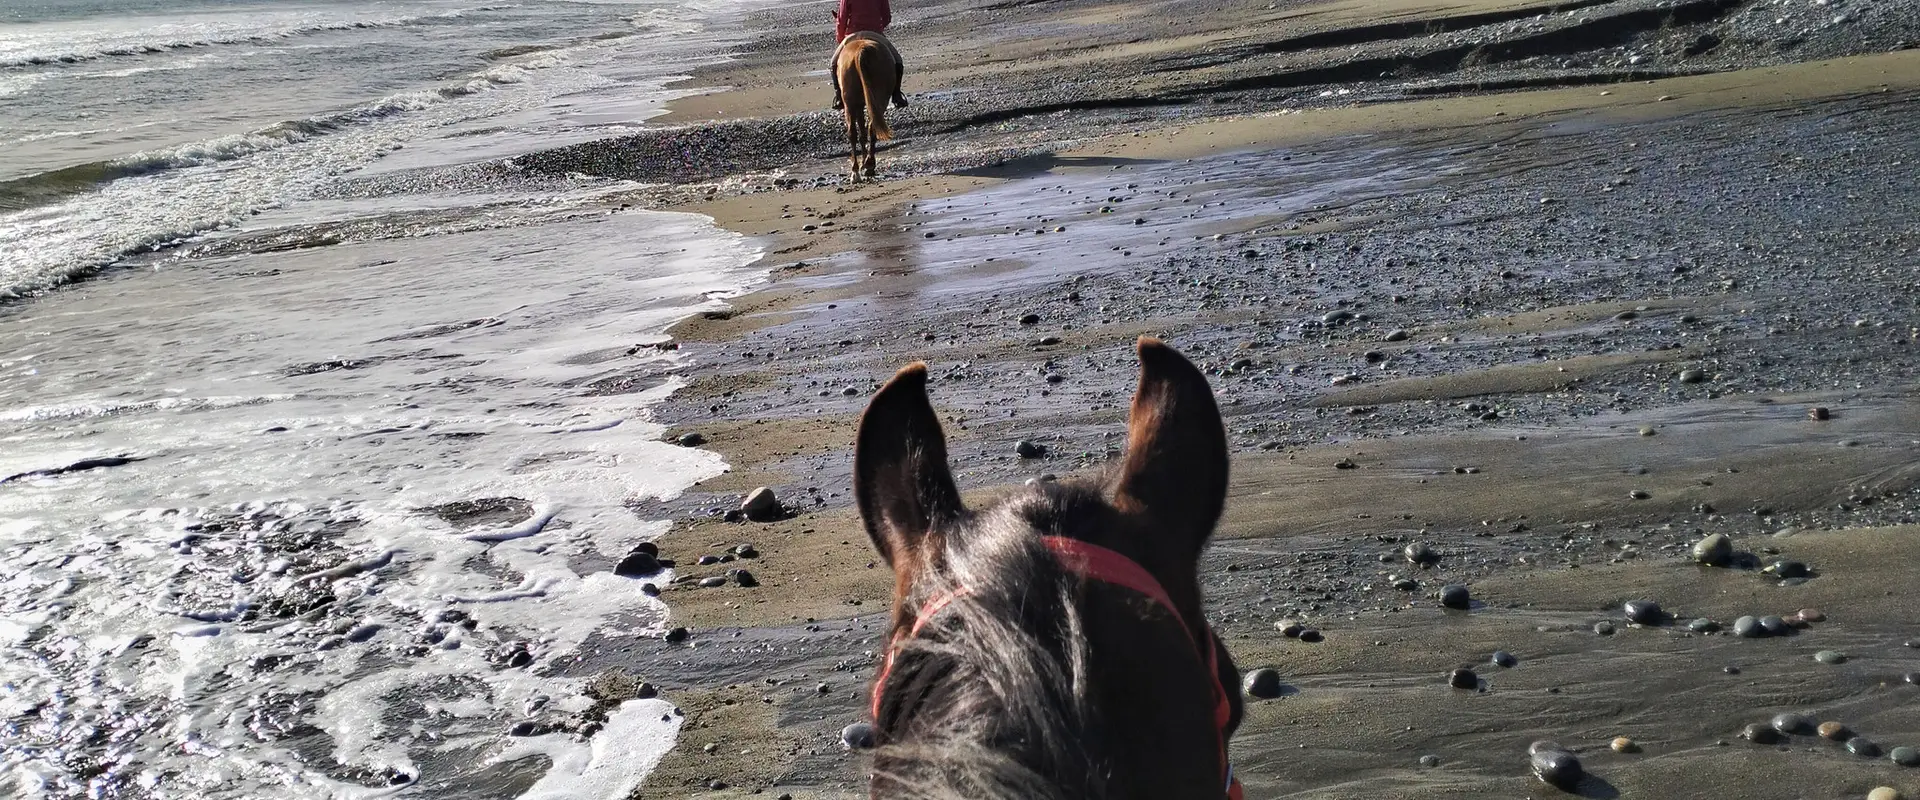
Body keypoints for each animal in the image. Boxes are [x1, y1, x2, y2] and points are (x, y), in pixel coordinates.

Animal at [834, 32, 898, 182]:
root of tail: (862, 51)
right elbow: (863, 132)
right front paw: (865, 162)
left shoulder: (857, 105)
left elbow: (861, 132)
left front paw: (862, 163)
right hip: (878, 99)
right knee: (871, 127)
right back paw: (867, 165)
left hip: (850, 103)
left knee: (853, 132)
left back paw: (857, 171)